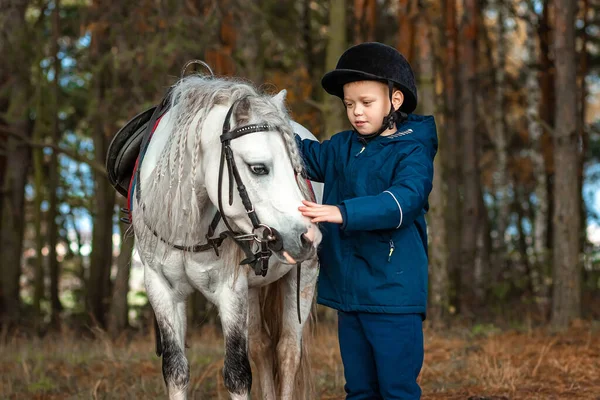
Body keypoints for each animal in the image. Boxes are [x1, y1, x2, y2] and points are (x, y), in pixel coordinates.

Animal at [133, 76, 324, 400]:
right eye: (258, 168)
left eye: (298, 169)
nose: (309, 236)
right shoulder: (161, 287)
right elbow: (176, 370)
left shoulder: (230, 289)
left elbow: (237, 374)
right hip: (254, 288)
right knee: (261, 347)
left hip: (304, 276)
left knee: (287, 351)